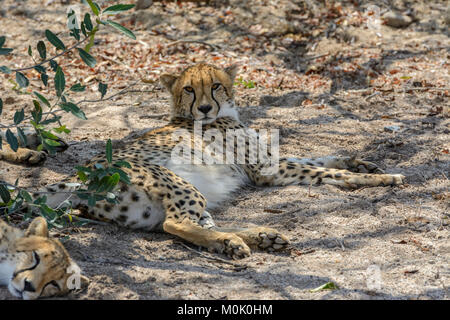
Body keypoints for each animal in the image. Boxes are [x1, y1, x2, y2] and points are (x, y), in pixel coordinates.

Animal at [2, 62, 404, 262]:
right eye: (189, 89)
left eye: (215, 85)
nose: (207, 108)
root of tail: (82, 176)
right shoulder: (266, 169)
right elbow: (323, 171)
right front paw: (380, 180)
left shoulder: (269, 159)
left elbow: (322, 157)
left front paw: (363, 163)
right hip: (178, 182)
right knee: (177, 225)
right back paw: (239, 242)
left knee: (196, 225)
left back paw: (252, 239)